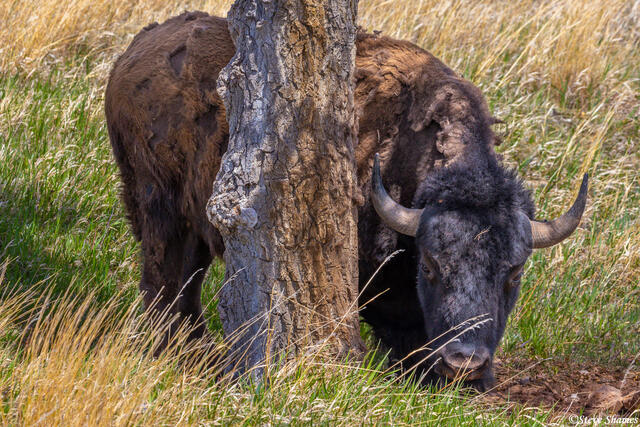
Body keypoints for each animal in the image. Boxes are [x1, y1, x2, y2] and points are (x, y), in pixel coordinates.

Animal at [105, 11, 587, 390]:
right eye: (430, 267)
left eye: (514, 272)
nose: (464, 362)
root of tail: (132, 55)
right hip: (158, 206)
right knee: (163, 279)